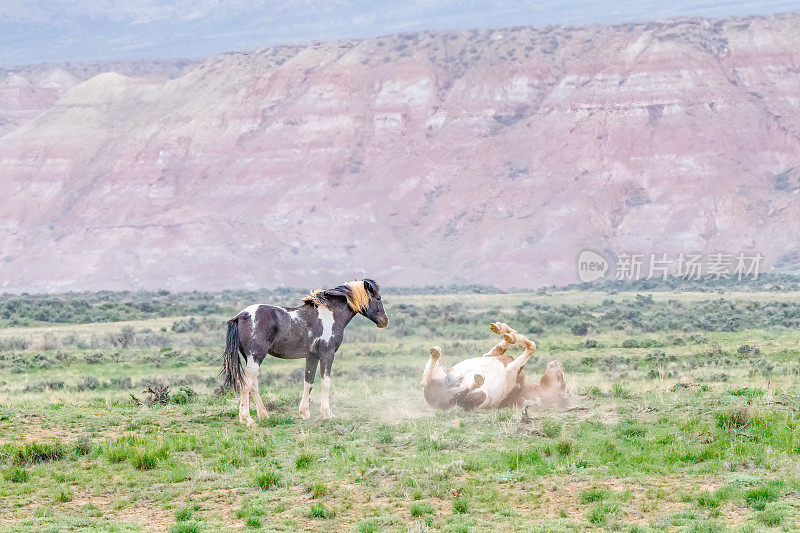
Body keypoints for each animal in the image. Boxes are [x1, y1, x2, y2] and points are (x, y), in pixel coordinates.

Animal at [222, 278, 390, 424]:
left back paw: (264, 415)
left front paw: (304, 413)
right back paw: (247, 419)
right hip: (255, 358)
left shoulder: (312, 357)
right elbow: (325, 383)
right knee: (245, 384)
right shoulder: (327, 355)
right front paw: (327, 414)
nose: (384, 321)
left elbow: (308, 383)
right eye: (377, 298)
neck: (330, 315)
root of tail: (240, 316)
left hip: (251, 359)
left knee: (253, 385)